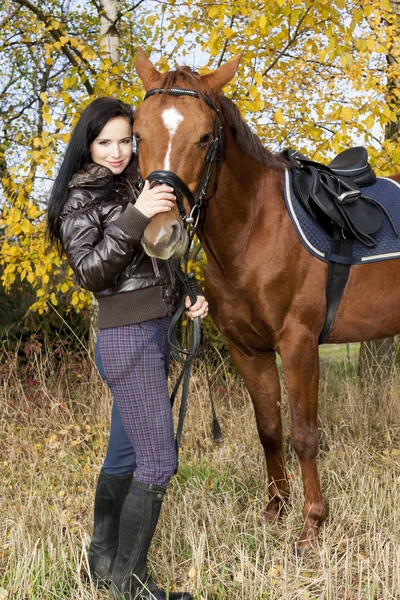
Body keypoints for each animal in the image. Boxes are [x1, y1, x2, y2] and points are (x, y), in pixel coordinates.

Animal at [133, 49, 400, 548]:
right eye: (138, 134)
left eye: (205, 138)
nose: (162, 236)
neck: (256, 229)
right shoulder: (248, 349)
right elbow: (270, 431)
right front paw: (276, 510)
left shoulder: (298, 345)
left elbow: (304, 435)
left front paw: (312, 524)